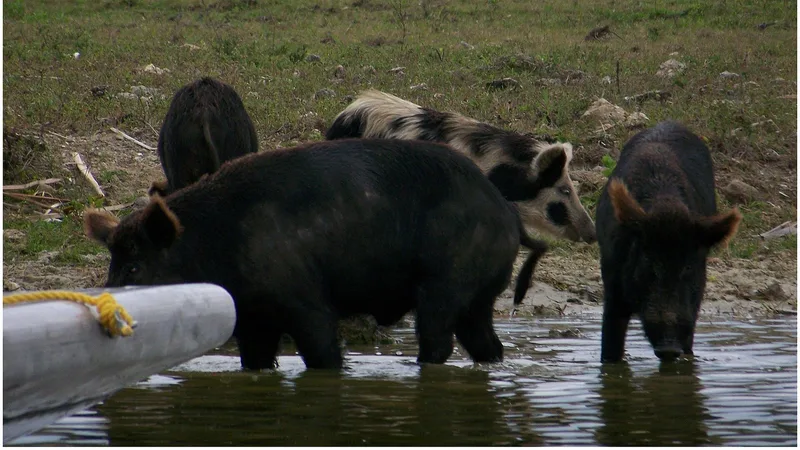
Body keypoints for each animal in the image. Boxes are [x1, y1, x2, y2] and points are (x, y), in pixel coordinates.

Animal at [84, 138, 548, 370]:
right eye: (112, 265)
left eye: (136, 265)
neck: (217, 241)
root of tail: (507, 213)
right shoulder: (253, 319)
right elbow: (255, 362)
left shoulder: (304, 300)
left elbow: (323, 353)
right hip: (477, 299)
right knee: (487, 345)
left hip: (445, 285)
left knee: (438, 342)